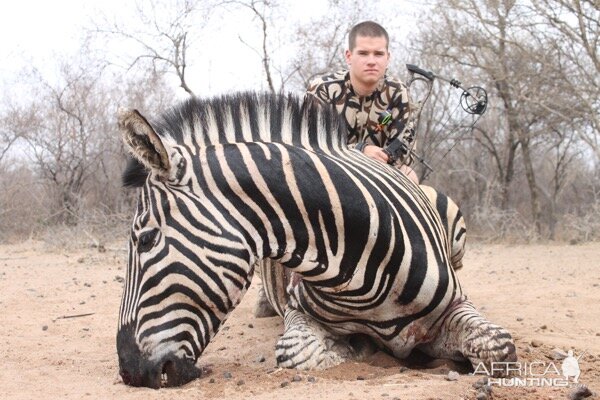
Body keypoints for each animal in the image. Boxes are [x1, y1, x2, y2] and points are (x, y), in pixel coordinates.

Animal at [116, 91, 516, 388]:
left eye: (146, 239)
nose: (130, 371)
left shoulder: (455, 306)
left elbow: (500, 349)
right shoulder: (297, 310)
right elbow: (296, 353)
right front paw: (352, 349)